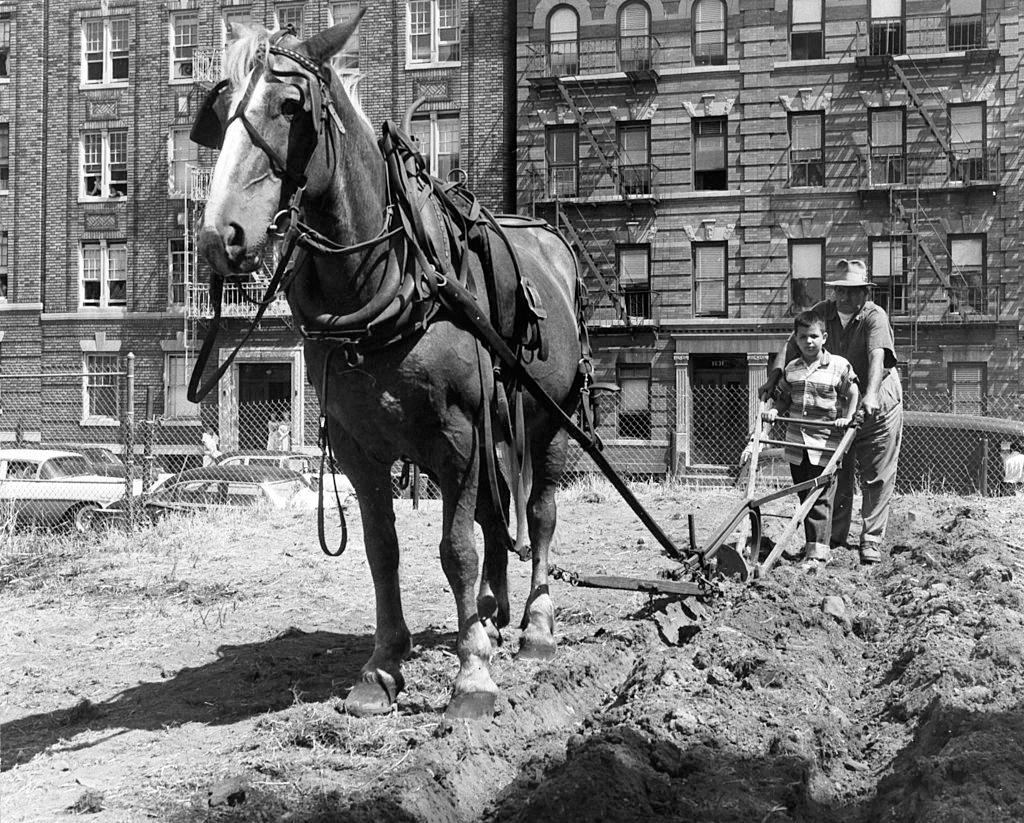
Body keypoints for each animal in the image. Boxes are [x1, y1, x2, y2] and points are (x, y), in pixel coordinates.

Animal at [192, 14, 589, 720]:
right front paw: (382, 668)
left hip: (549, 419)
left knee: (538, 514)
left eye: (290, 106)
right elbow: (384, 551)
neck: (388, 285)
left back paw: (536, 624)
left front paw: (472, 675)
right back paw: (492, 612)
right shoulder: (358, 446)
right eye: (220, 110)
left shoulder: (459, 436)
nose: (219, 236)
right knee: (497, 518)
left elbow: (455, 550)